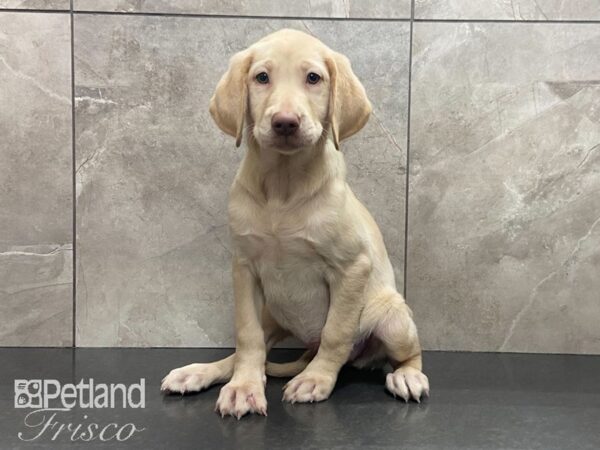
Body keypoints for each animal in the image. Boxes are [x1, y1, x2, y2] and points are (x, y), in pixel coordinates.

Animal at [162, 29, 428, 418]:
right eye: (261, 77)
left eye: (313, 78)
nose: (285, 122)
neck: (283, 186)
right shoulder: (244, 267)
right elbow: (247, 336)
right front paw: (243, 387)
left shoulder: (352, 268)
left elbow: (336, 333)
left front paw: (316, 379)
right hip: (272, 312)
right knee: (248, 349)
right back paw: (200, 373)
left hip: (391, 316)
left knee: (405, 353)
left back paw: (406, 376)